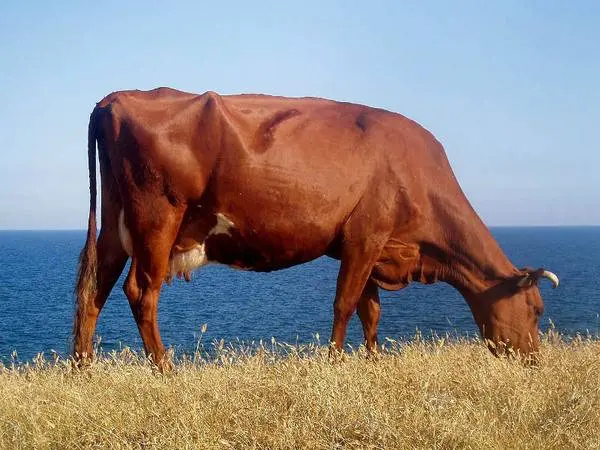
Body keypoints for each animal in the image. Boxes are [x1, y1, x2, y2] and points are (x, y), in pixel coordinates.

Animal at [74, 88, 556, 370]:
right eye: (536, 310)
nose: (535, 360)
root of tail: (115, 98)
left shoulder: (372, 247)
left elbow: (370, 310)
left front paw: (374, 363)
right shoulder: (366, 235)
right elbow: (345, 305)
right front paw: (335, 364)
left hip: (117, 223)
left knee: (94, 286)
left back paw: (83, 369)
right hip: (157, 217)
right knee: (141, 292)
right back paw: (165, 369)